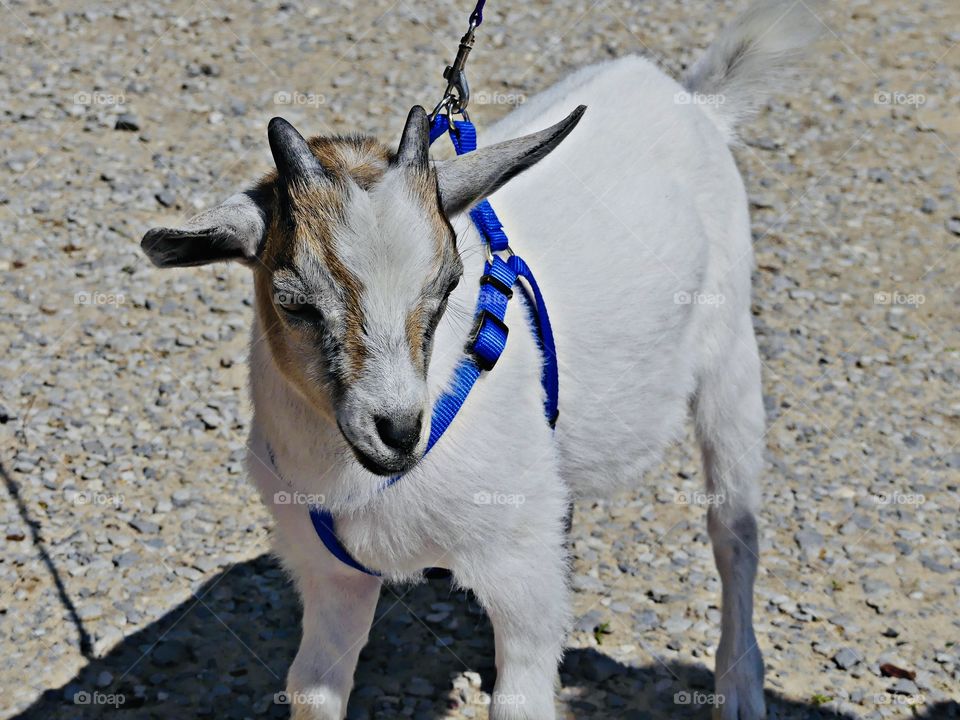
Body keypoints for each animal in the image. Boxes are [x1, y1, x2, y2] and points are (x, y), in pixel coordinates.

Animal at [141, 2, 816, 716]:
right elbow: (314, 684)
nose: (397, 430)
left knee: (733, 533)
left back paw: (739, 688)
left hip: (731, 364)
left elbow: (520, 694)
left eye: (447, 285)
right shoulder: (331, 577)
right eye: (293, 302)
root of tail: (693, 102)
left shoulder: (521, 581)